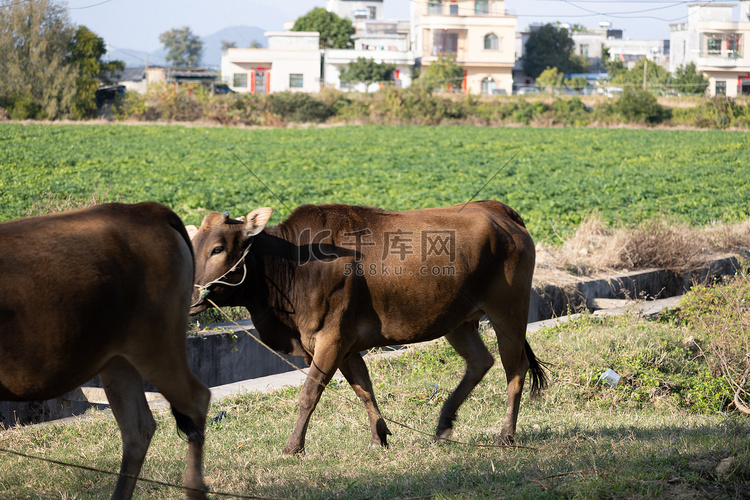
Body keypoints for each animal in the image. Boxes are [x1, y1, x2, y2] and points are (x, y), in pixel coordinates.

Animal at [1, 202, 212, 500]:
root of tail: (145, 209)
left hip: (157, 345)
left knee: (196, 401)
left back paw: (194, 488)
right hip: (119, 359)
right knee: (138, 428)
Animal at [188, 201, 548, 456]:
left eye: (218, 248)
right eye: (191, 246)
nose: (189, 296)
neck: (293, 265)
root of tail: (497, 209)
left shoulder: (331, 338)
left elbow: (310, 392)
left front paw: (293, 447)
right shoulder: (345, 344)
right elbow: (364, 389)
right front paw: (379, 437)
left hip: (509, 311)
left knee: (514, 370)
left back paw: (506, 435)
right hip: (457, 321)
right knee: (479, 362)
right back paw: (444, 424)